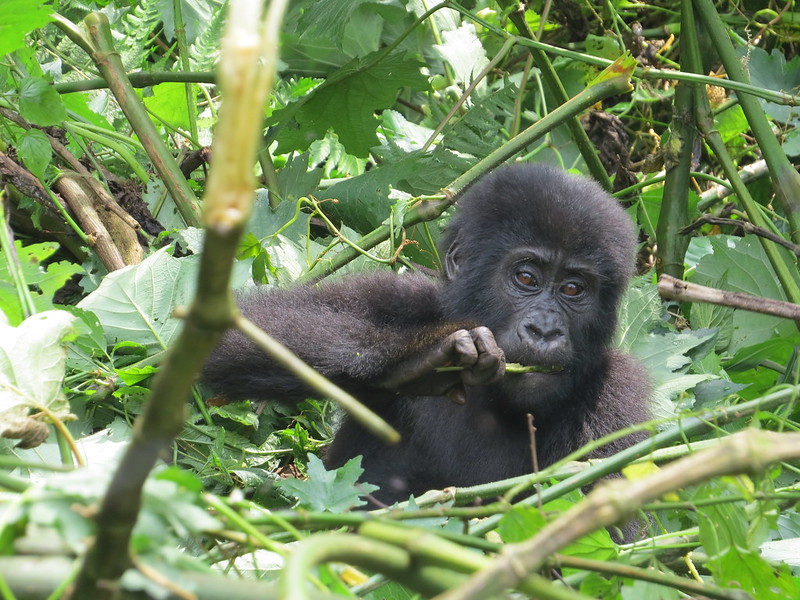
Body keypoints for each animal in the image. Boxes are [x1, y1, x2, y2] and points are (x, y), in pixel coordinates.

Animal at [202, 163, 650, 505]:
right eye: (526, 277)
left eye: (573, 289)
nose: (545, 329)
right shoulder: (397, 294)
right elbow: (234, 334)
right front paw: (423, 358)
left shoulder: (617, 393)